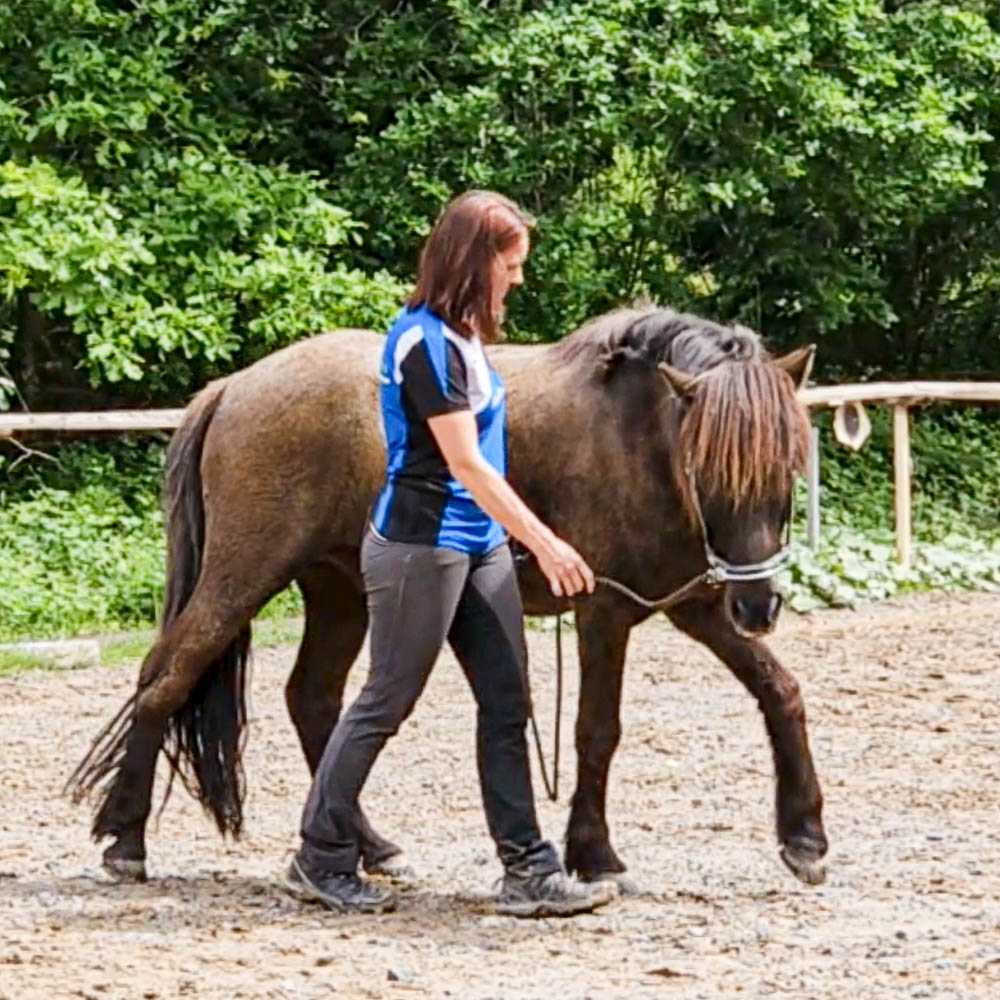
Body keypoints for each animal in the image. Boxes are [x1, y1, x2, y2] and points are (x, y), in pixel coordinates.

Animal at [68, 306, 828, 892]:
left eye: (787, 471)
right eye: (710, 469)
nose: (760, 605)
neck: (634, 435)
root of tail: (233, 387)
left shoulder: (693, 605)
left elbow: (781, 691)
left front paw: (805, 838)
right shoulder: (604, 613)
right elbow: (598, 731)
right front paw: (595, 854)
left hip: (338, 592)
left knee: (313, 701)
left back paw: (369, 848)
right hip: (243, 574)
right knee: (167, 678)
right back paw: (127, 842)